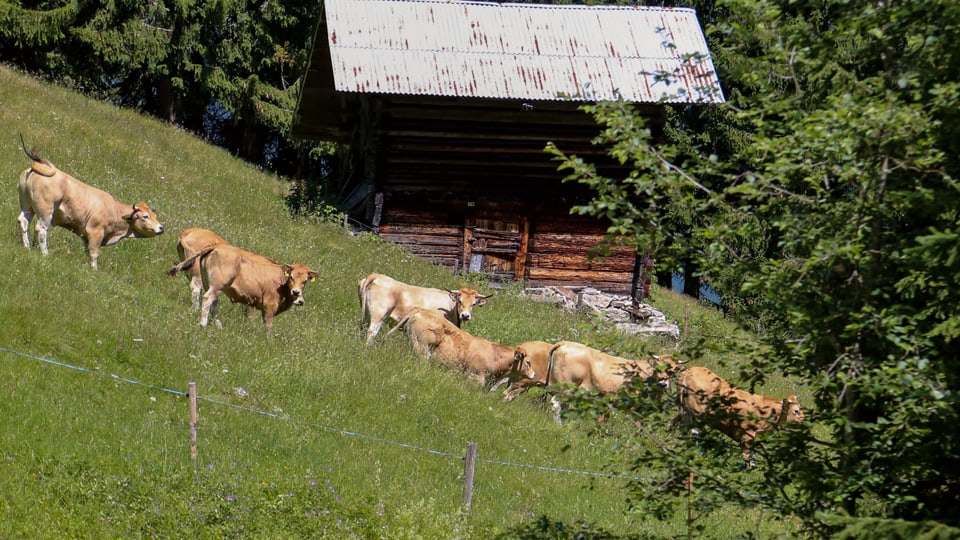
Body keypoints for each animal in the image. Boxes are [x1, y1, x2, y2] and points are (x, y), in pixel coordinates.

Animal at [17, 142, 165, 266]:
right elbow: (94, 253)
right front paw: (94, 270)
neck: (114, 210)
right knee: (41, 229)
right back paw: (45, 254)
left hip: (27, 206)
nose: (161, 227)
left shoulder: (85, 235)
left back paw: (27, 247)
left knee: (24, 220)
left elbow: (87, 252)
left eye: (155, 216)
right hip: (46, 211)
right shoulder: (95, 232)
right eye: (145, 216)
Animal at [164, 245, 316, 330]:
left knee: (213, 303)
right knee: (207, 299)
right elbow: (268, 326)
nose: (296, 292)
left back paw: (219, 326)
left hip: (211, 285)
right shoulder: (268, 306)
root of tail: (216, 247)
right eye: (291, 277)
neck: (281, 281)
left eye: (305, 281)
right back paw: (203, 324)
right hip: (217, 285)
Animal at [358, 272, 492, 344]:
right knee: (372, 332)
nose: (465, 315)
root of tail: (377, 275)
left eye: (473, 304)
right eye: (460, 301)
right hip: (378, 315)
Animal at [680, 364, 808, 466]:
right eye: (796, 410)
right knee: (693, 431)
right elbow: (747, 456)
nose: (803, 419)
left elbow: (752, 456)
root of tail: (692, 369)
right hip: (696, 413)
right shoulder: (748, 435)